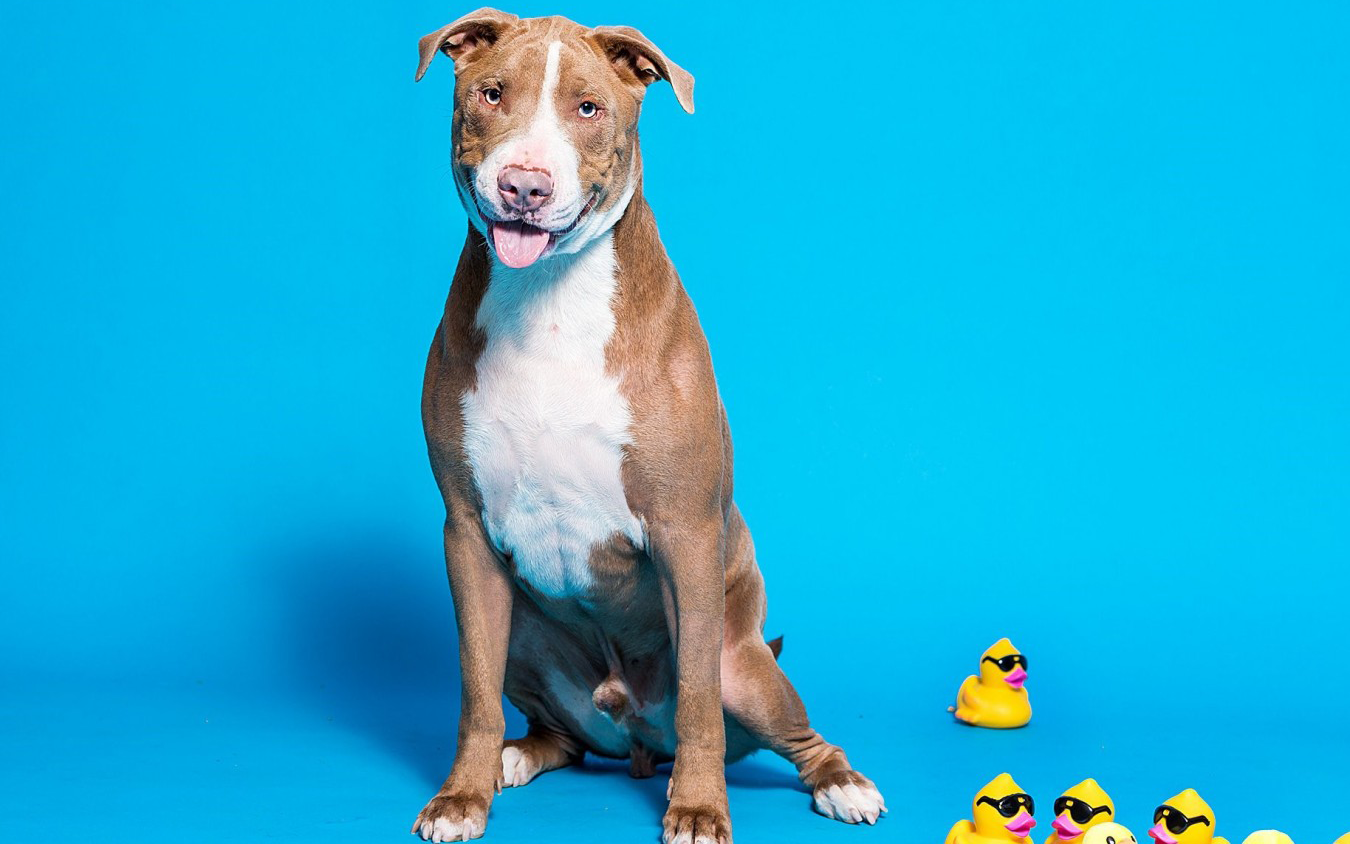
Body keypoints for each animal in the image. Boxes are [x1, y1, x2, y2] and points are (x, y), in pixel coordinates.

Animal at [410, 8, 885, 842]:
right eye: (493, 95)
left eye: (588, 108)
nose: (525, 184)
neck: (548, 300)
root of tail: (633, 736)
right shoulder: (465, 533)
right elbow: (473, 688)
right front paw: (460, 797)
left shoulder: (685, 534)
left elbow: (696, 699)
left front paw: (696, 809)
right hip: (525, 635)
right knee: (557, 733)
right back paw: (514, 756)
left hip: (747, 665)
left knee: (788, 731)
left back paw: (842, 784)